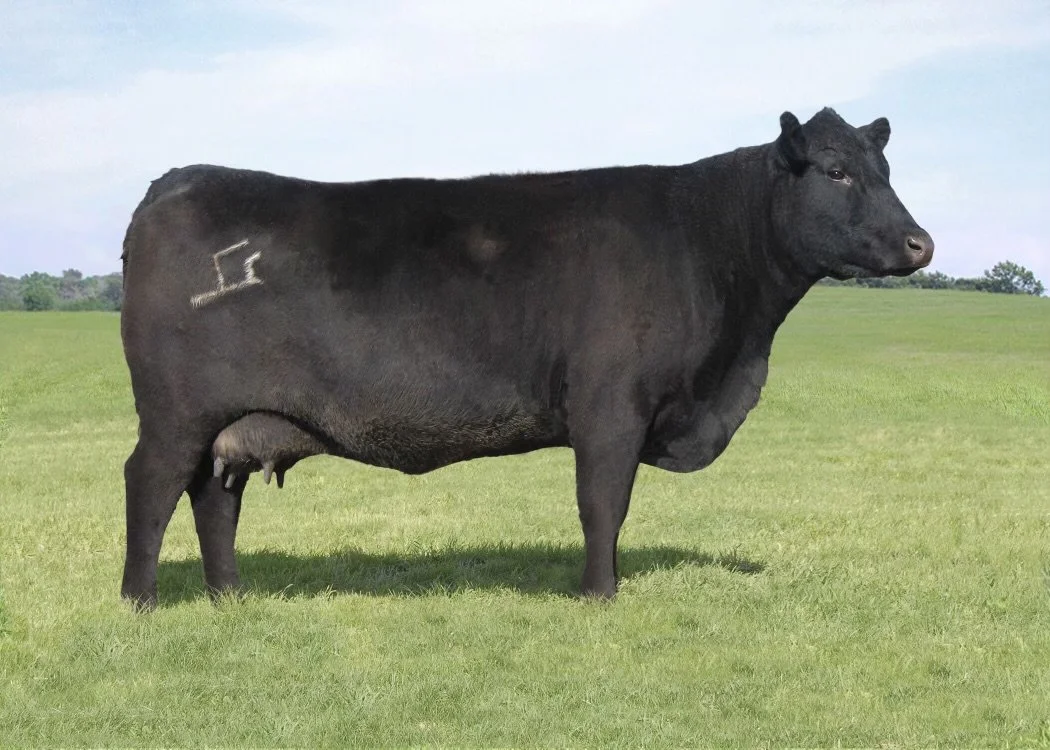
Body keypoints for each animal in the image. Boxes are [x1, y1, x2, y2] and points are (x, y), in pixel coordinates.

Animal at [119, 107, 933, 609]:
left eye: (886, 169)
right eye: (834, 170)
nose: (920, 243)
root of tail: (178, 180)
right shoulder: (611, 405)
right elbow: (603, 503)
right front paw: (600, 595)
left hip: (231, 418)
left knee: (215, 496)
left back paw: (229, 597)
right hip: (175, 411)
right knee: (152, 484)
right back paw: (140, 602)